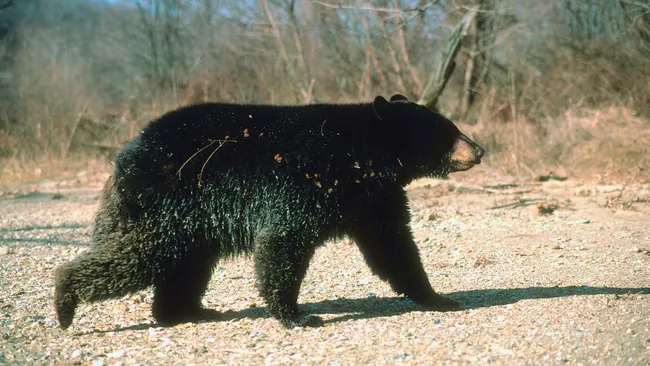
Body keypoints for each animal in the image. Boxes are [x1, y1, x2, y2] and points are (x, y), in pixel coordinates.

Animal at [54, 94, 480, 328]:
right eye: (448, 130)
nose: (479, 150)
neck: (361, 153)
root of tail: (122, 158)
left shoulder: (374, 198)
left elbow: (393, 248)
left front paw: (437, 297)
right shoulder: (303, 183)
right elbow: (283, 241)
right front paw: (295, 316)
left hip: (190, 222)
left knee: (186, 265)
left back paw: (186, 312)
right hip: (165, 205)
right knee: (141, 257)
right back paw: (64, 298)